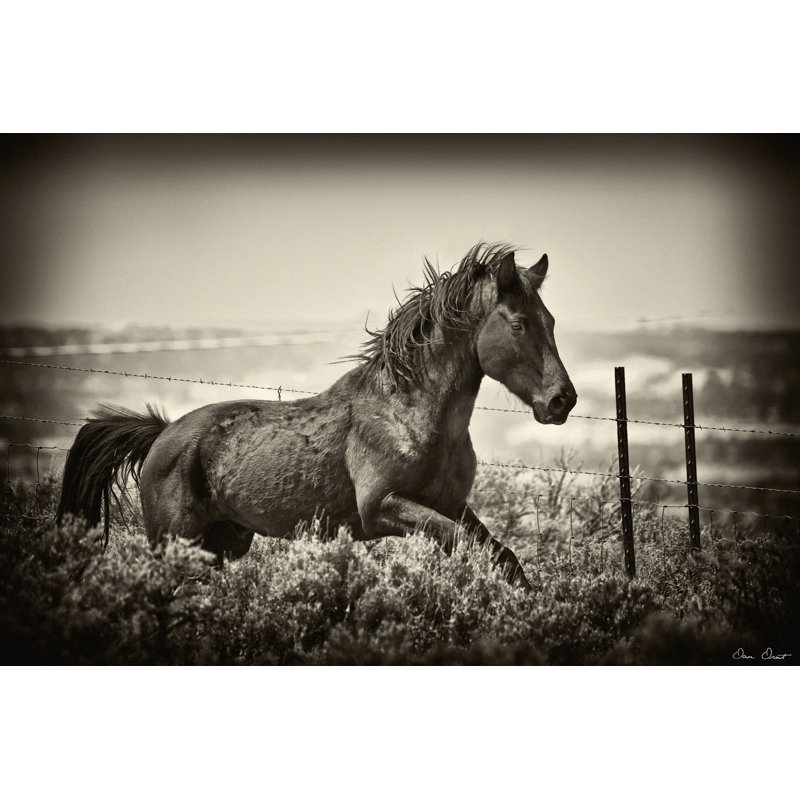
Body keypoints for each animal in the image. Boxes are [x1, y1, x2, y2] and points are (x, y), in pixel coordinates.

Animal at [57, 242, 577, 590]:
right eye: (519, 324)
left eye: (551, 321)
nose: (562, 401)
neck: (410, 413)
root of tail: (164, 435)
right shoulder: (382, 507)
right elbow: (465, 544)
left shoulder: (451, 504)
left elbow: (502, 556)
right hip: (174, 541)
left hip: (221, 544)